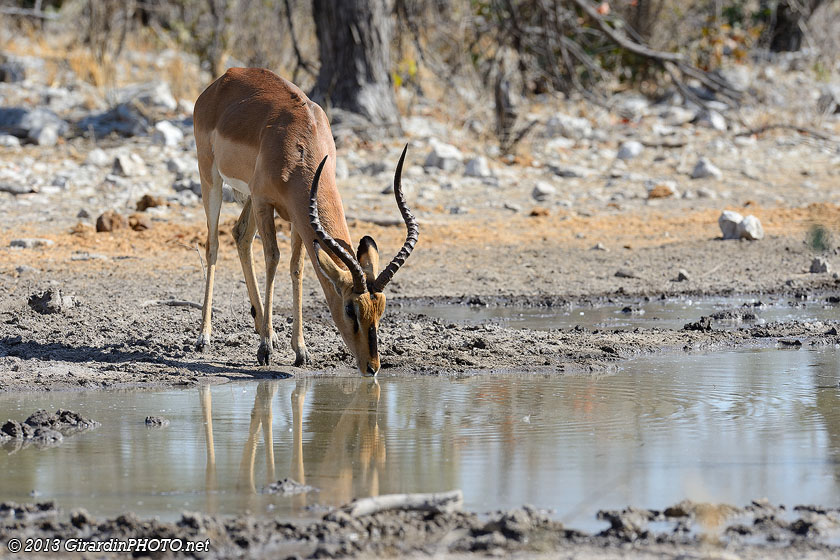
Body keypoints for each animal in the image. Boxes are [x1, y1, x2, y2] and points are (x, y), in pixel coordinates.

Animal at [192, 68, 418, 376]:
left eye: (381, 308)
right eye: (351, 308)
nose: (372, 367)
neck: (299, 140)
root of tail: (223, 79)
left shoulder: (297, 216)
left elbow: (297, 267)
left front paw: (300, 350)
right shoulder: (265, 203)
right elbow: (273, 259)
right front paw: (264, 350)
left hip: (249, 196)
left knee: (241, 235)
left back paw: (265, 328)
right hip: (211, 179)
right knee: (213, 245)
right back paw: (204, 337)